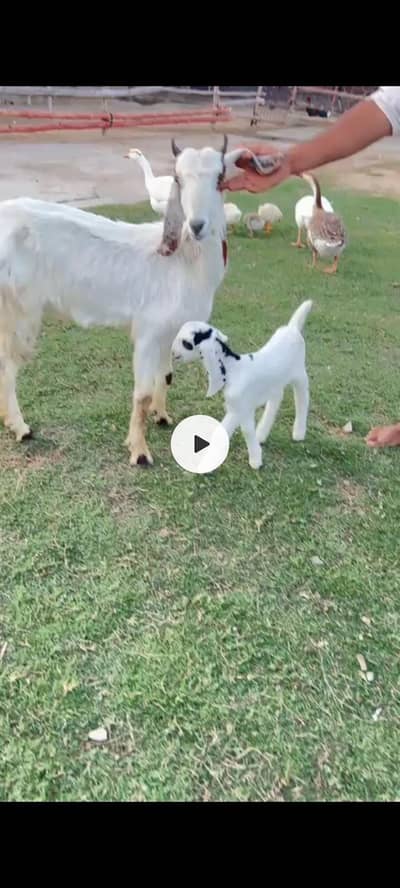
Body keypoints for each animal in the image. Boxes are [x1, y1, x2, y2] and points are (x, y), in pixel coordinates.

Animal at [0, 139, 282, 466]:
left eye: (220, 177)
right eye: (178, 178)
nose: (197, 225)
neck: (183, 262)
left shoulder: (171, 330)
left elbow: (167, 375)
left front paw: (162, 416)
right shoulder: (148, 329)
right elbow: (142, 393)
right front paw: (140, 451)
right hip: (20, 309)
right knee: (8, 366)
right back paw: (20, 427)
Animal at [172, 300, 312, 469]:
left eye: (186, 343)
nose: (173, 353)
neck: (233, 368)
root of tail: (292, 328)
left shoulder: (241, 408)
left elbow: (241, 431)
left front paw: (255, 461)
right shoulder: (238, 408)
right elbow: (230, 430)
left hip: (299, 374)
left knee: (302, 399)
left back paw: (298, 433)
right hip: (275, 383)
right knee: (276, 398)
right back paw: (262, 434)